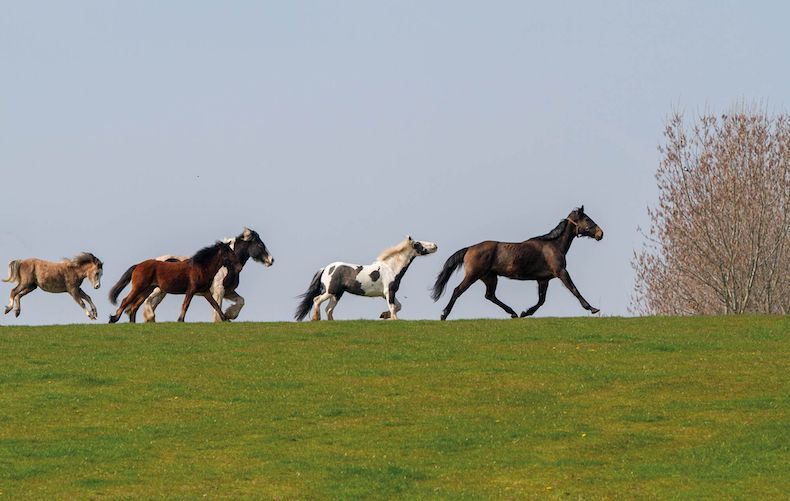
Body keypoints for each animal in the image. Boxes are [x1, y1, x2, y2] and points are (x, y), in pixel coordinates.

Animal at [109, 240, 241, 322]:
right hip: (139, 287)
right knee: (126, 301)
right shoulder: (191, 290)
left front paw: (225, 319)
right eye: (227, 253)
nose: (239, 267)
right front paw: (180, 320)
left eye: (232, 251)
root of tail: (138, 265)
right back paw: (113, 319)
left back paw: (131, 322)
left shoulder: (205, 292)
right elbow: (185, 305)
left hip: (147, 289)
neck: (201, 267)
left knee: (135, 306)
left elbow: (215, 305)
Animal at [296, 235, 440, 320]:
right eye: (418, 243)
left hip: (337, 294)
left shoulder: (385, 294)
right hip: (330, 291)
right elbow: (394, 308)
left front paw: (383, 315)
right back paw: (316, 318)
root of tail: (326, 268)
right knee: (317, 300)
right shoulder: (389, 291)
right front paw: (392, 319)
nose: (435, 245)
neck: (391, 268)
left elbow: (398, 306)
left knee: (329, 309)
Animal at [434, 206, 608, 320]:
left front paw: (526, 313)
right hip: (473, 275)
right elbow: (574, 289)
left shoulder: (543, 279)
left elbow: (541, 300)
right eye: (587, 219)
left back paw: (513, 313)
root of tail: (469, 248)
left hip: (489, 277)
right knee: (458, 290)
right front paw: (592, 308)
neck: (554, 245)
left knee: (490, 295)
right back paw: (444, 314)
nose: (601, 234)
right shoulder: (561, 272)